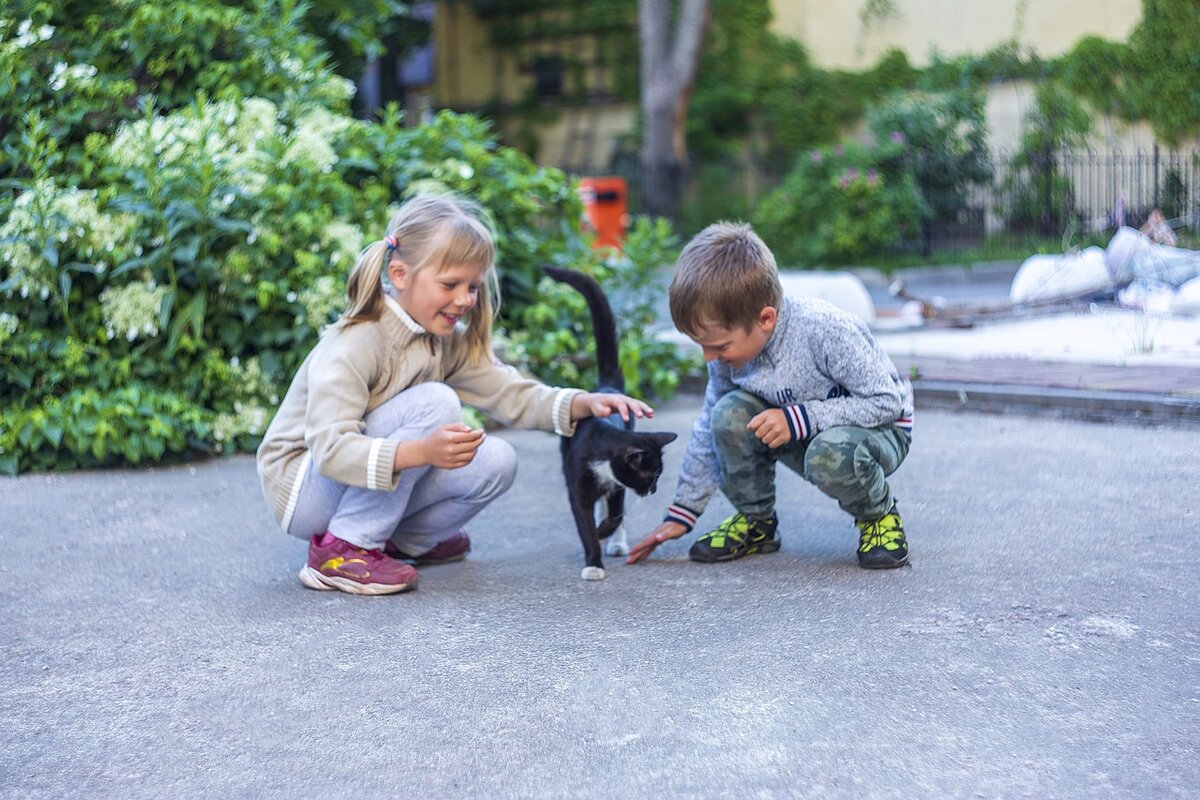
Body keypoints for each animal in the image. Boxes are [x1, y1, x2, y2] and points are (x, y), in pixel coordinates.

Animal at [544, 266, 676, 578]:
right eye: (652, 475)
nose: (653, 490)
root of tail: (606, 389)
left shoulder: (617, 484)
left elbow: (616, 514)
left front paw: (606, 533)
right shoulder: (578, 485)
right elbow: (584, 522)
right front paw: (593, 561)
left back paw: (616, 542)